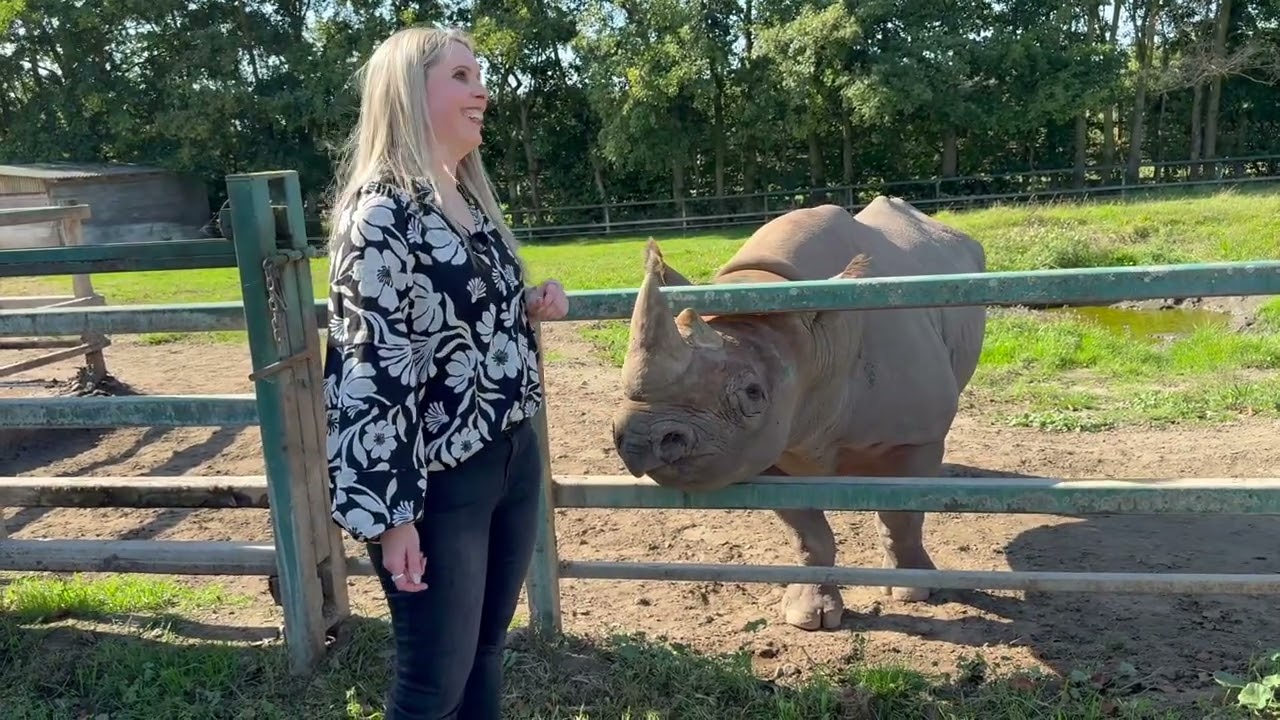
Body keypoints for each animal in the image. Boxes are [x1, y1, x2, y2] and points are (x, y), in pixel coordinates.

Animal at [610, 196, 987, 631]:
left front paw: (914, 592)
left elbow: (901, 517)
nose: (639, 440)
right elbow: (808, 534)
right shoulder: (762, 448)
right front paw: (810, 616)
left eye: (753, 393)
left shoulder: (916, 435)